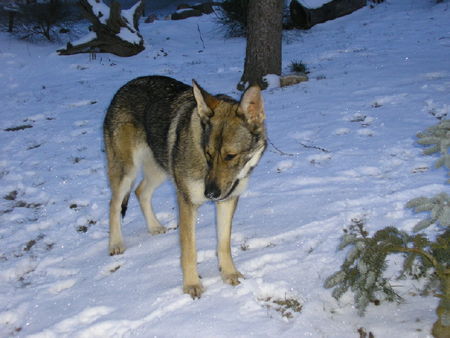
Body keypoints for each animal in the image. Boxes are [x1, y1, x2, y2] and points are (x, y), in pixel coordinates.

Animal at [103, 75, 266, 298]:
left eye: (230, 156)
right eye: (208, 153)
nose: (210, 194)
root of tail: (123, 87)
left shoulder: (227, 201)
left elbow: (224, 244)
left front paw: (230, 274)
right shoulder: (186, 202)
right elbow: (189, 250)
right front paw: (191, 285)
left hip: (160, 170)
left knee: (140, 192)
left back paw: (154, 227)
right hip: (127, 172)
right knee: (114, 203)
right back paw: (116, 244)